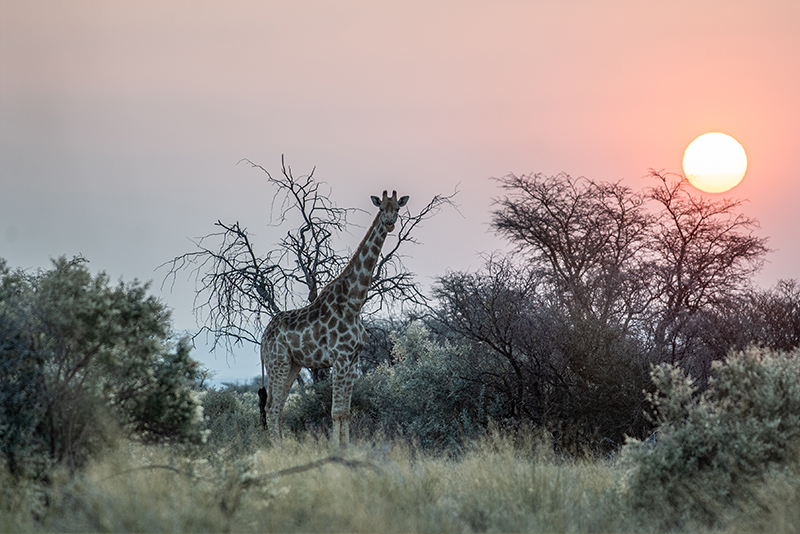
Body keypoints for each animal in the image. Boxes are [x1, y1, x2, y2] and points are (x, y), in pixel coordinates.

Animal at [258, 190, 409, 448]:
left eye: (397, 209)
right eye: (381, 209)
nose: (390, 223)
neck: (354, 303)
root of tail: (263, 338)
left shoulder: (353, 359)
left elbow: (345, 411)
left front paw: (347, 447)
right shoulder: (340, 357)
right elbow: (336, 411)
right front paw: (336, 449)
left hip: (293, 364)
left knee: (277, 406)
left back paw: (281, 446)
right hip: (277, 361)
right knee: (272, 406)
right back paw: (277, 449)